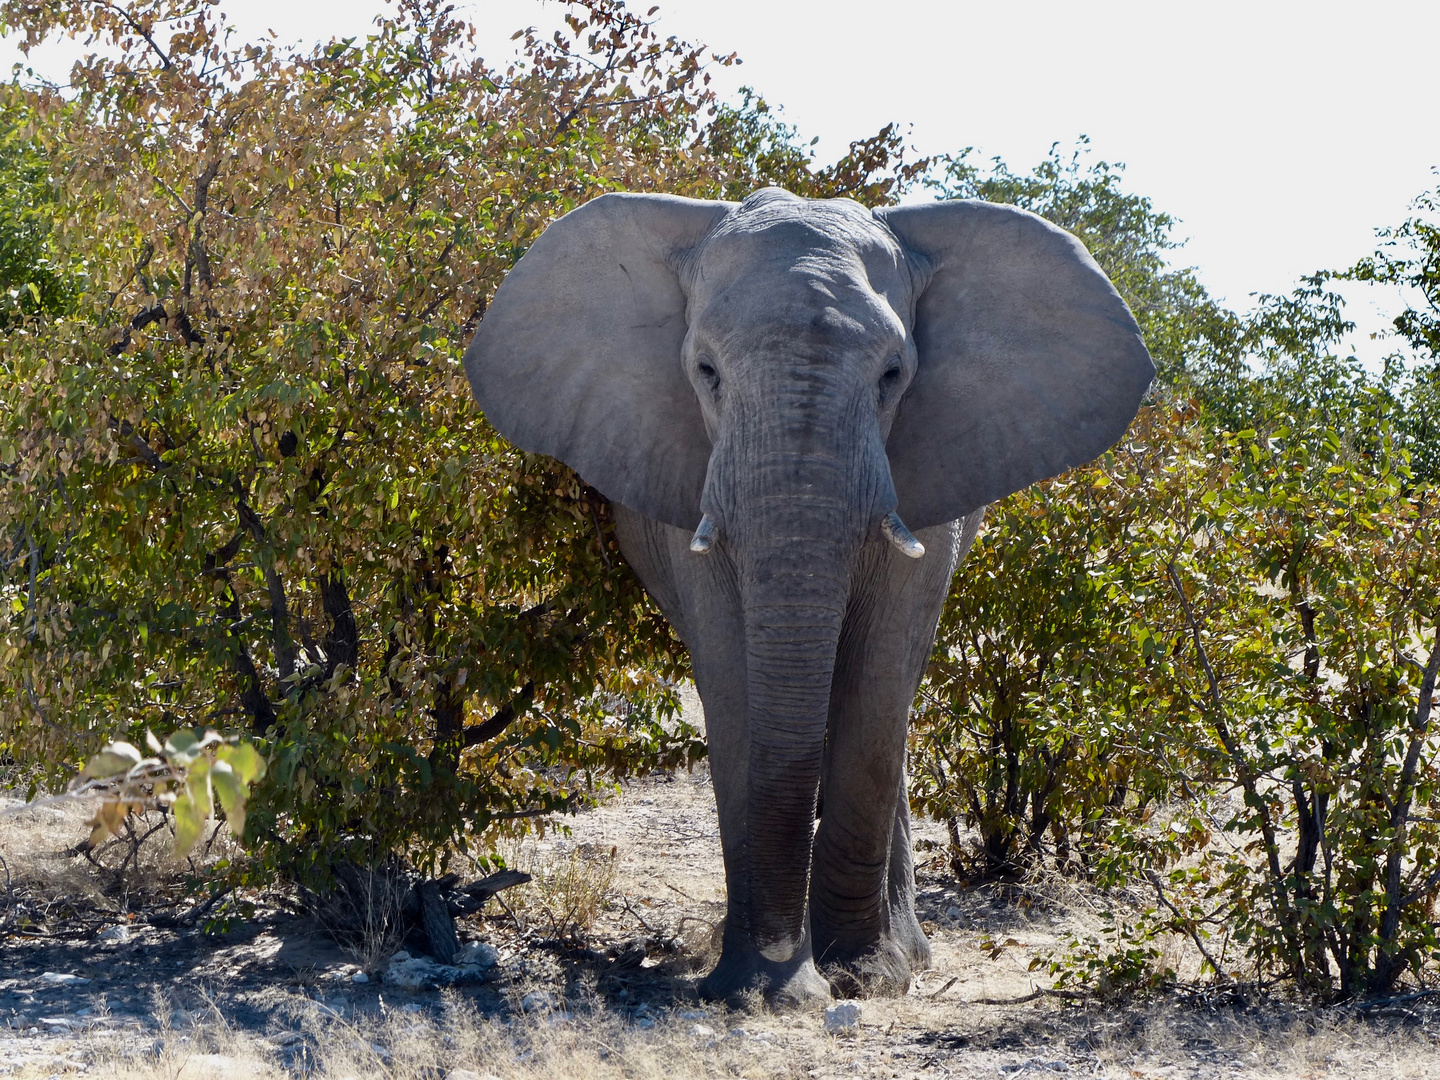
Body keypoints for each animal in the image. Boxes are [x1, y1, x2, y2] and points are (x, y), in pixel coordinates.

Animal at [466, 184, 1152, 1008]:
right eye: (705, 371)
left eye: (894, 374)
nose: (782, 962)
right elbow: (732, 678)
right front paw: (753, 988)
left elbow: (880, 677)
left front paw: (861, 975)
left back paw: (906, 955)